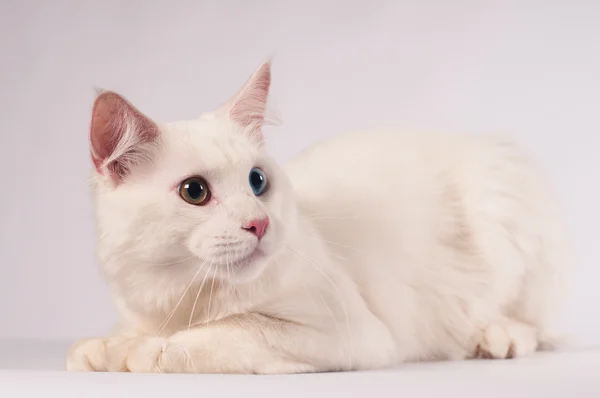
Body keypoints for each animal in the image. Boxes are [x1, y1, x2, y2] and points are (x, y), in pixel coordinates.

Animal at [68, 61, 568, 374]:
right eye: (195, 192)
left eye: (257, 182)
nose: (259, 224)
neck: (185, 297)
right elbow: (123, 334)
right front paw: (102, 349)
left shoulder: (347, 330)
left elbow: (229, 331)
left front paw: (141, 351)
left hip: (500, 205)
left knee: (533, 325)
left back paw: (495, 339)